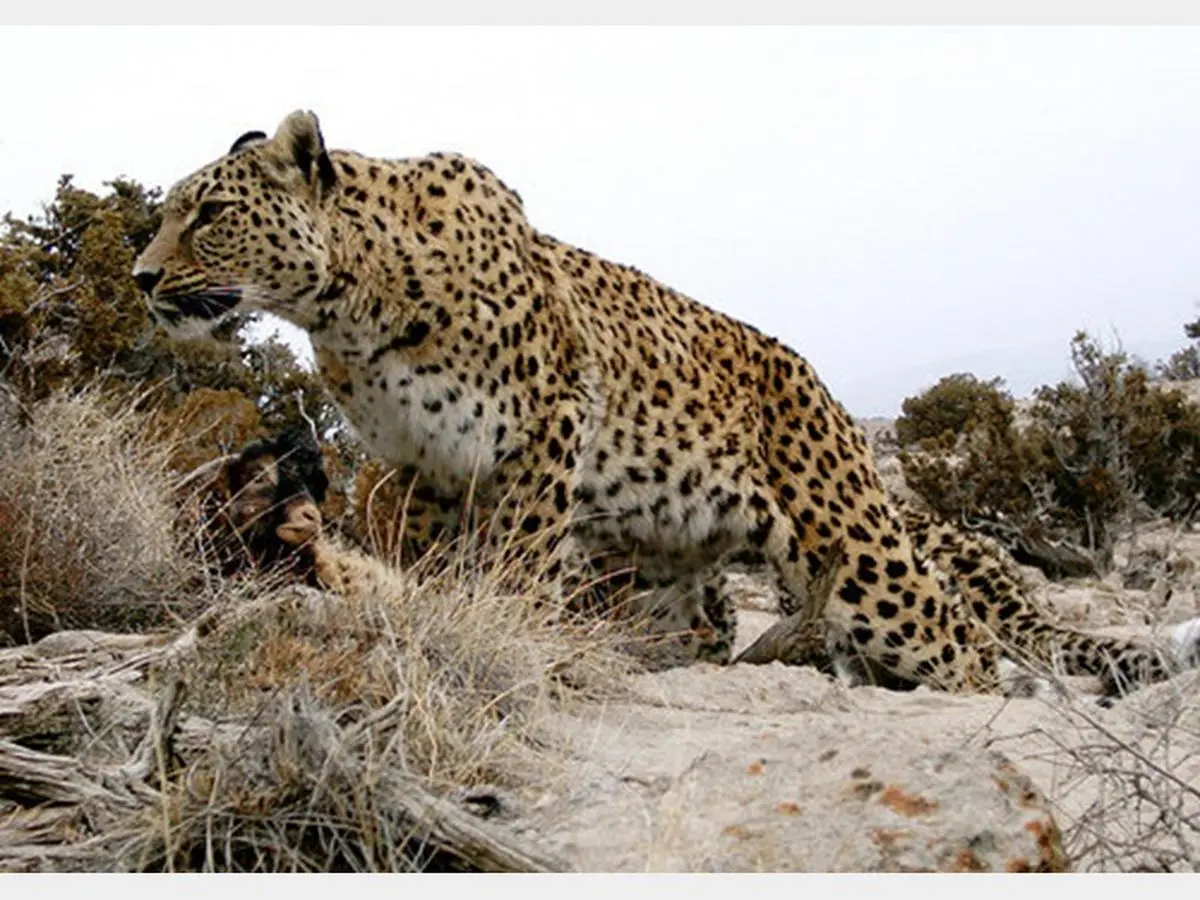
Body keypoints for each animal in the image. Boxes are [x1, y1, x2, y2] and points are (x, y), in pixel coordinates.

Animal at [133, 109, 1200, 696]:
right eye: (168, 213)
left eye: (211, 213)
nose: (142, 277)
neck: (352, 304)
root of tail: (823, 389)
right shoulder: (419, 465)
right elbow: (428, 563)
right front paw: (436, 624)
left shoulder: (542, 429)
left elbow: (517, 560)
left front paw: (504, 633)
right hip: (667, 564)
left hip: (860, 554)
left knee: (962, 639)